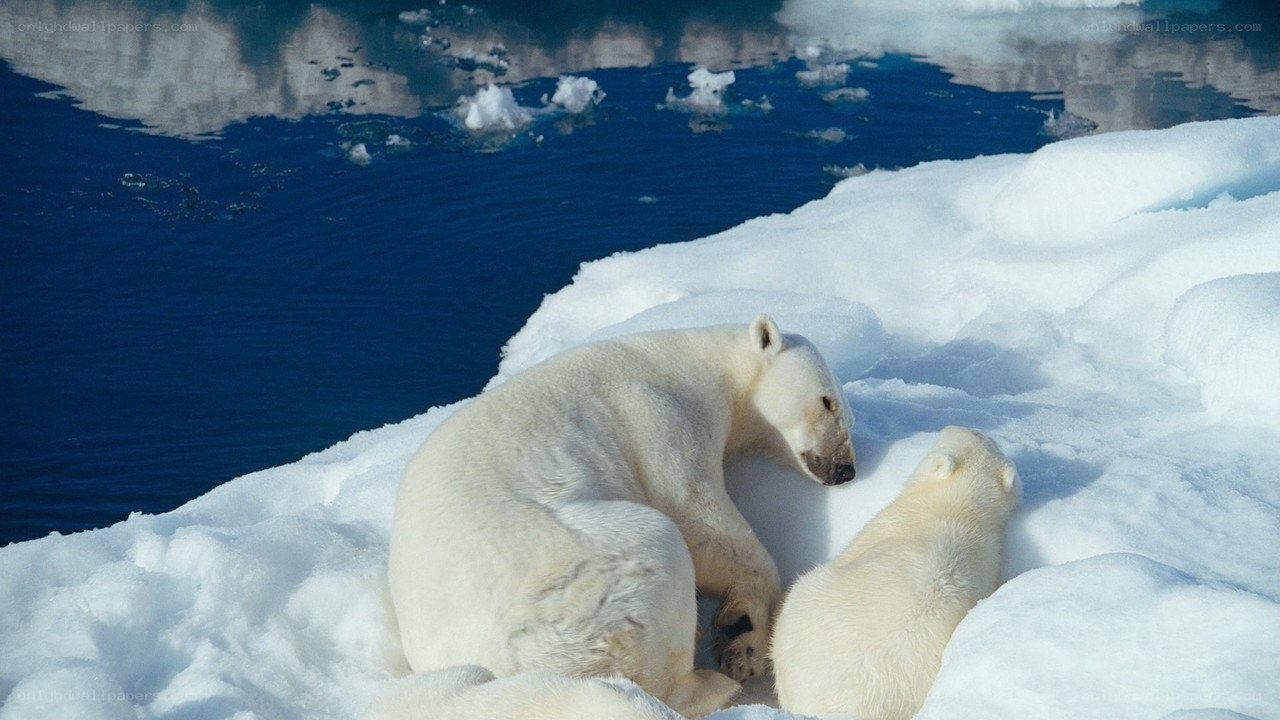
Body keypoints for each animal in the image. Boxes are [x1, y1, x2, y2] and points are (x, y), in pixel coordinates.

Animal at [388, 315, 856, 718]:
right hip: (579, 587)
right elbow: (698, 517)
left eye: (847, 414)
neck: (695, 364)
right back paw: (712, 683)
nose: (845, 470)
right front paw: (742, 636)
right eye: (827, 402)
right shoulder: (657, 414)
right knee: (656, 554)